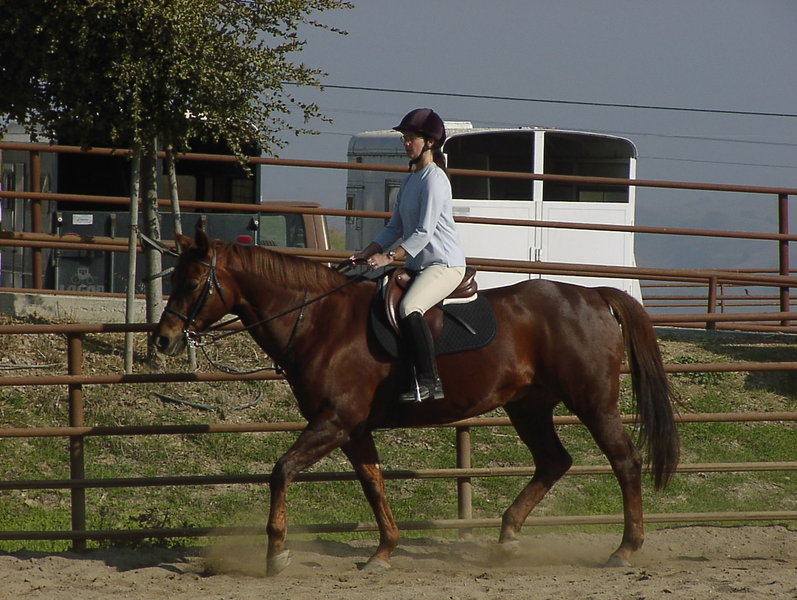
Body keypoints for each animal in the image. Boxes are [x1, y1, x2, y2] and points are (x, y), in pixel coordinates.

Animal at [151, 228, 680, 576]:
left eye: (193, 283)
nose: (163, 338)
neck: (320, 322)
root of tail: (593, 294)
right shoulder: (352, 429)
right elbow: (373, 484)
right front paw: (383, 551)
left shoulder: (333, 422)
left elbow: (281, 471)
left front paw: (277, 552)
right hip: (528, 407)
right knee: (554, 461)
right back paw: (508, 538)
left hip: (592, 402)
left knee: (625, 461)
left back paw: (624, 549)